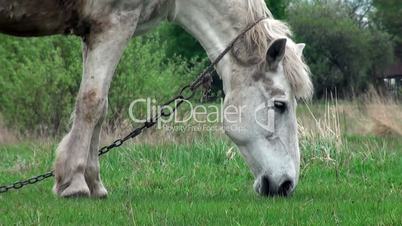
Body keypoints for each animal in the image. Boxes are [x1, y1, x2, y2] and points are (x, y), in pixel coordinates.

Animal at [0, 0, 312, 197]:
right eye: (280, 105)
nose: (287, 184)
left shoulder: (95, 31)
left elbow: (100, 105)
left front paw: (94, 183)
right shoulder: (114, 23)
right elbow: (92, 101)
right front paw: (75, 183)